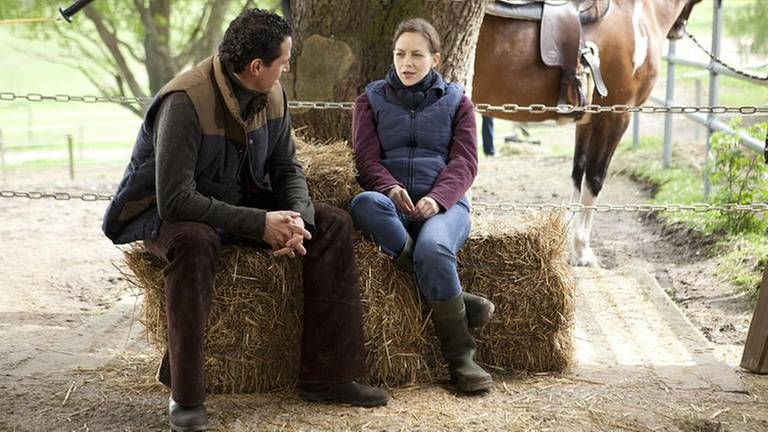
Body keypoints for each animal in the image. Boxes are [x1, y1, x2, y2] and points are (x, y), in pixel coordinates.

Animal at [476, 0, 704, 264]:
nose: (679, 30)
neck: (637, 16)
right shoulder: (617, 114)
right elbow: (596, 177)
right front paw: (582, 250)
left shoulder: (588, 120)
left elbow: (578, 173)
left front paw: (568, 244)